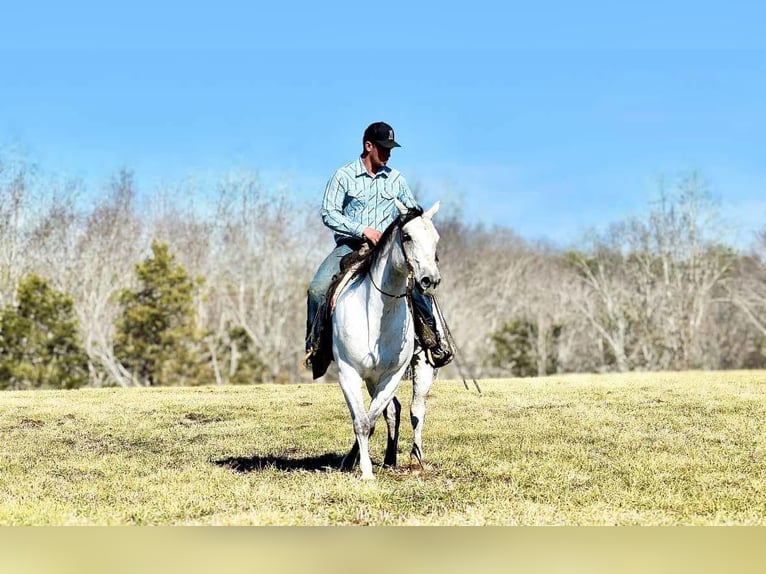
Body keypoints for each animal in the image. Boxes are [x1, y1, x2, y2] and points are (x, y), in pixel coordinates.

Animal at [332, 200, 440, 480]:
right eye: (407, 236)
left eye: (436, 239)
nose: (430, 280)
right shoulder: (348, 372)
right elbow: (362, 422)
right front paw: (365, 471)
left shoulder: (392, 374)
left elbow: (370, 420)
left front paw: (365, 468)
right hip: (371, 378)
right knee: (393, 411)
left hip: (422, 368)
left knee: (416, 410)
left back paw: (414, 460)